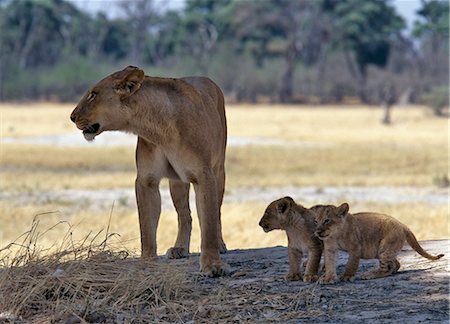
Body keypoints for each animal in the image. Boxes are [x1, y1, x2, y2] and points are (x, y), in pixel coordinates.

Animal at [71, 66, 229, 276]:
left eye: (93, 95)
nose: (72, 117)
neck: (159, 129)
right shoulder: (146, 180)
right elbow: (146, 225)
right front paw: (147, 261)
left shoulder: (204, 175)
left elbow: (209, 221)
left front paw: (213, 265)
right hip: (177, 182)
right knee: (184, 215)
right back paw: (180, 248)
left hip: (219, 171)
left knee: (216, 211)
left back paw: (220, 244)